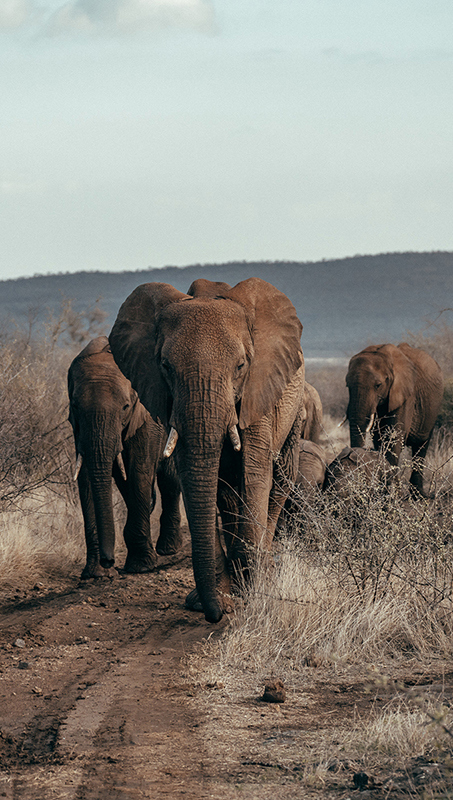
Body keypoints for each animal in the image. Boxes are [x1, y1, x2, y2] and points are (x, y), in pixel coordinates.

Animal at [68, 336, 182, 579]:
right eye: (75, 406)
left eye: (125, 407)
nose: (109, 560)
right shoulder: (78, 428)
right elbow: (86, 477)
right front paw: (96, 574)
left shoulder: (147, 416)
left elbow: (139, 470)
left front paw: (141, 566)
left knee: (168, 479)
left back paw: (168, 549)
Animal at [109, 277, 305, 623]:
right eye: (165, 366)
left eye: (240, 365)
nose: (215, 616)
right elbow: (192, 477)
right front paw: (214, 601)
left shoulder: (258, 388)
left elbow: (255, 475)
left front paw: (253, 594)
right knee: (226, 493)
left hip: (293, 409)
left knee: (280, 480)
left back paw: (262, 573)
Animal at [345, 343, 443, 495]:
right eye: (347, 385)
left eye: (378, 385)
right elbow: (380, 441)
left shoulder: (406, 395)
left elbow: (393, 439)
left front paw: (393, 494)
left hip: (432, 409)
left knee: (421, 445)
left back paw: (418, 495)